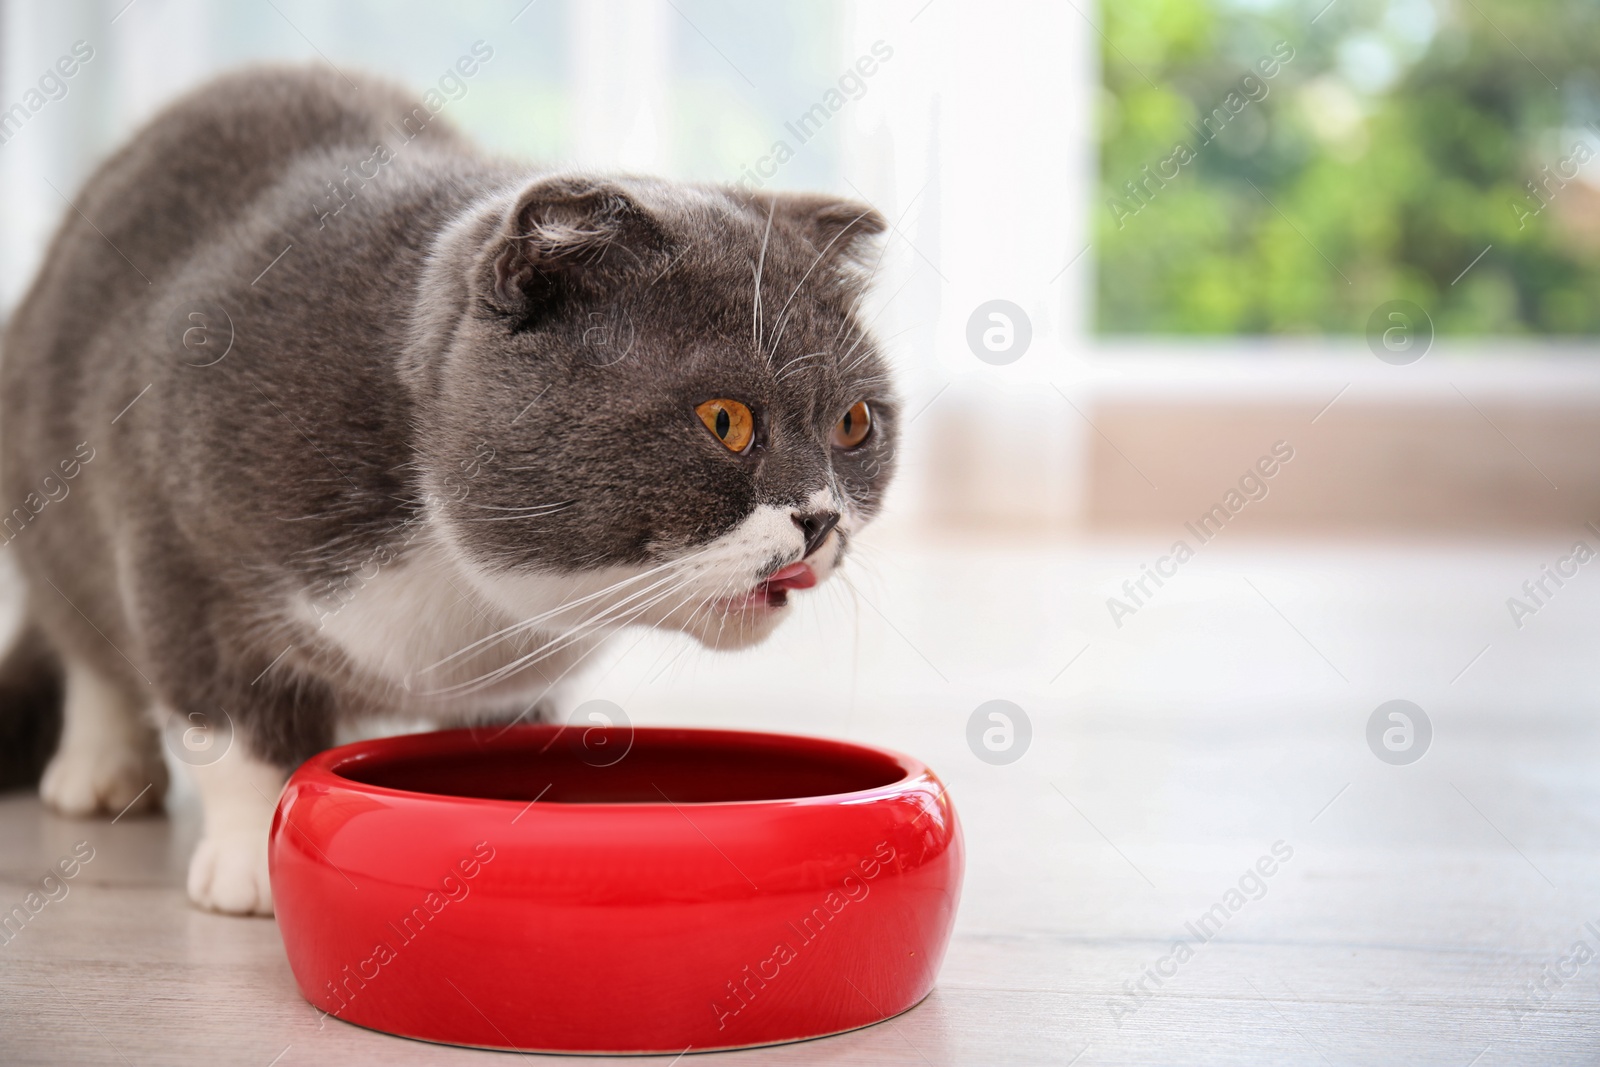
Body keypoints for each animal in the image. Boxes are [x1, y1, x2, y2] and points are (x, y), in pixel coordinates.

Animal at [0, 66, 902, 921]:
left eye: (854, 423)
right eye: (725, 419)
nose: (821, 517)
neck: (455, 567)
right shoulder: (180, 550)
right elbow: (231, 727)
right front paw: (256, 859)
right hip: (53, 502)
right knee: (87, 643)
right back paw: (101, 769)